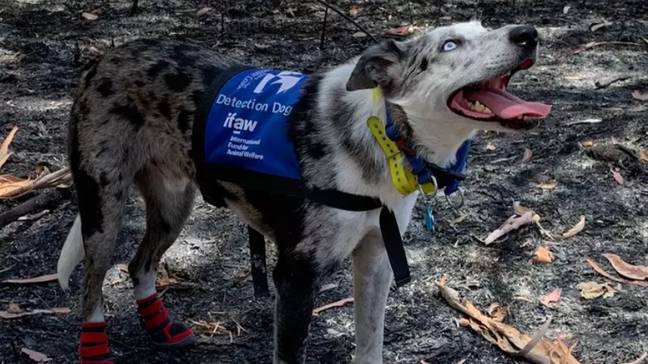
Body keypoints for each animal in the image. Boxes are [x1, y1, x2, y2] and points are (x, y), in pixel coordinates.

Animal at [57, 21, 552, 362]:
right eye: (450, 45)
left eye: (485, 28)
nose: (528, 34)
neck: (385, 135)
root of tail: (105, 58)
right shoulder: (294, 278)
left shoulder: (375, 260)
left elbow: (369, 346)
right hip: (103, 208)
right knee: (92, 285)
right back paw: (95, 347)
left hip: (173, 206)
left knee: (138, 265)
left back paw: (160, 327)